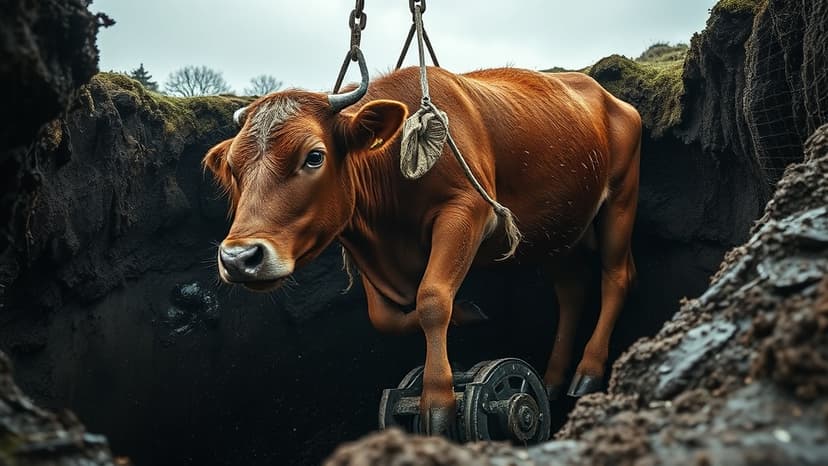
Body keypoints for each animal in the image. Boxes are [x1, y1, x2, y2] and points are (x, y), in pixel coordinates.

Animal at [203, 61, 641, 436]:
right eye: (234, 169)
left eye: (314, 157)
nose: (240, 258)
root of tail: (606, 95)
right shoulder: (366, 244)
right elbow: (387, 316)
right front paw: (467, 314)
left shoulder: (468, 211)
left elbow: (431, 298)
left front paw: (438, 400)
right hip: (558, 231)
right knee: (572, 290)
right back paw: (552, 378)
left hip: (620, 200)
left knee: (616, 277)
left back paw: (588, 370)